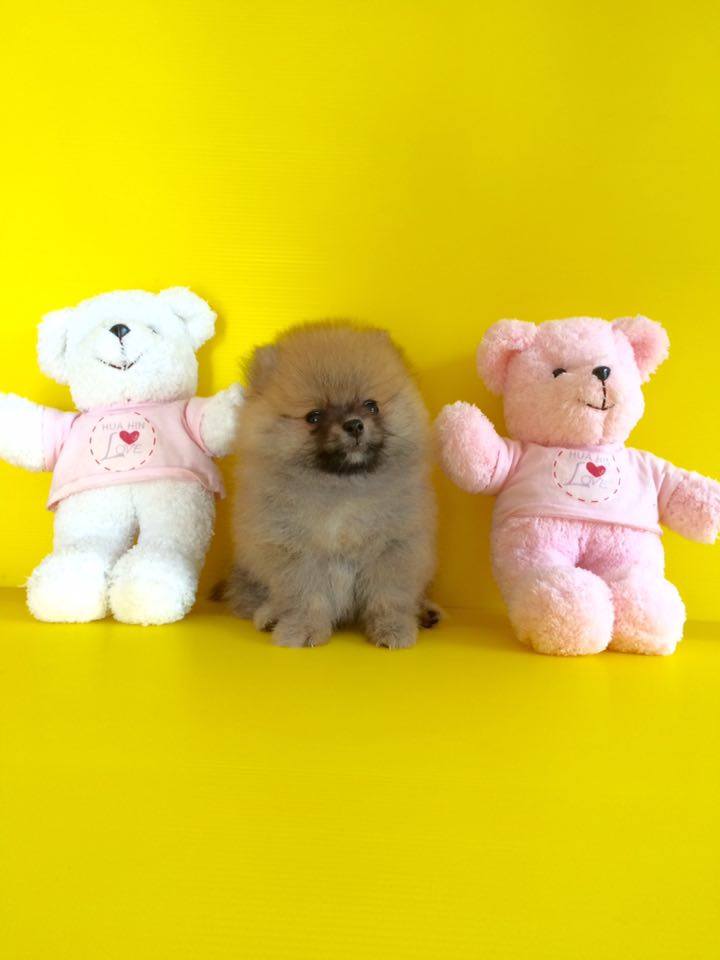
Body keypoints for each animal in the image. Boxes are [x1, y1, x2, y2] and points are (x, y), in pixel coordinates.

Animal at [216, 321, 439, 648]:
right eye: (314, 416)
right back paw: (269, 615)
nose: (355, 424)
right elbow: (305, 597)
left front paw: (392, 628)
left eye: (371, 405)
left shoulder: (395, 546)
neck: (342, 491)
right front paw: (303, 629)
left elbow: (389, 596)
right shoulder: (295, 551)